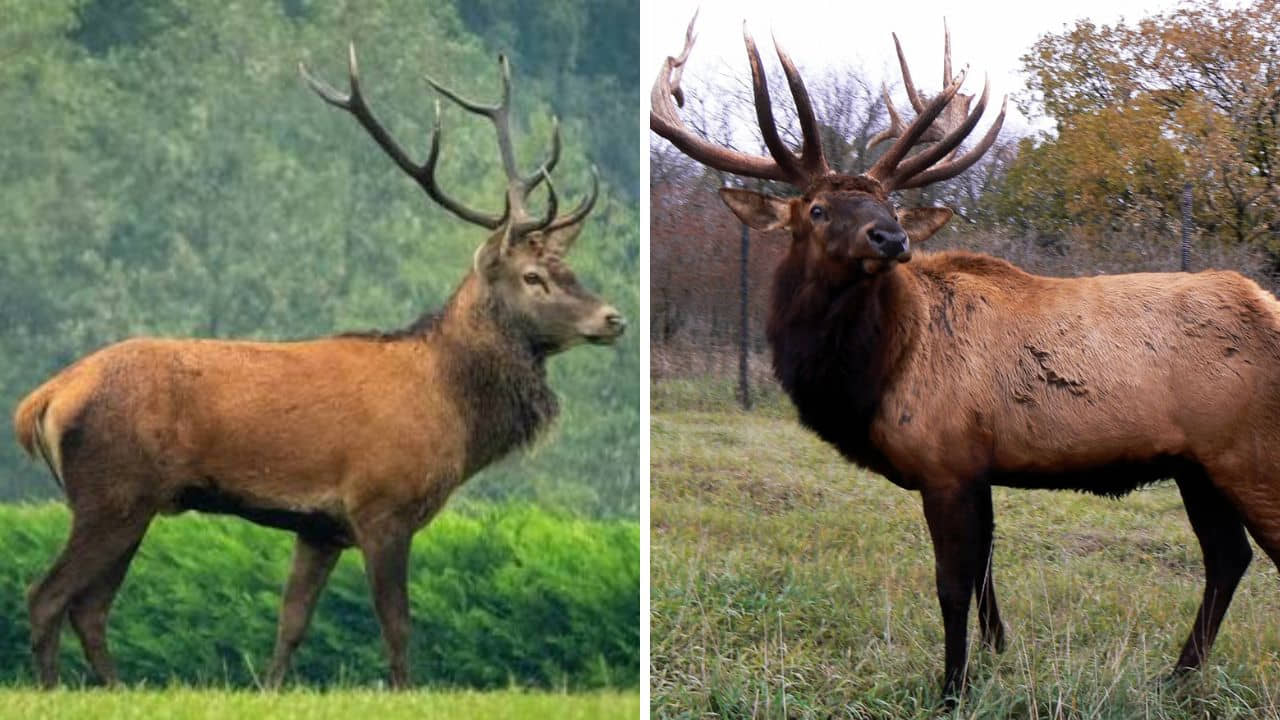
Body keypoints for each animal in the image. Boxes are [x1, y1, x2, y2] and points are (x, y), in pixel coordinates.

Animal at [12, 44, 626, 690]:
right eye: (533, 277)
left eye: (570, 271)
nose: (612, 318)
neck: (453, 411)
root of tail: (44, 399)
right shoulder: (382, 506)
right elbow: (397, 625)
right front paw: (405, 692)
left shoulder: (319, 527)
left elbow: (293, 623)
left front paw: (270, 688)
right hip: (112, 492)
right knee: (48, 595)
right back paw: (56, 687)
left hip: (131, 500)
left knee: (90, 606)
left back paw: (115, 687)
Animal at [653, 15, 1280, 703]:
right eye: (816, 210)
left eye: (889, 206)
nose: (892, 237)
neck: (879, 372)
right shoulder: (978, 467)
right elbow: (985, 574)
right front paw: (999, 650)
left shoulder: (947, 461)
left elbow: (953, 584)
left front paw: (952, 687)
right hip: (1198, 466)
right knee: (1228, 557)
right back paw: (1177, 675)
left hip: (1247, 453)